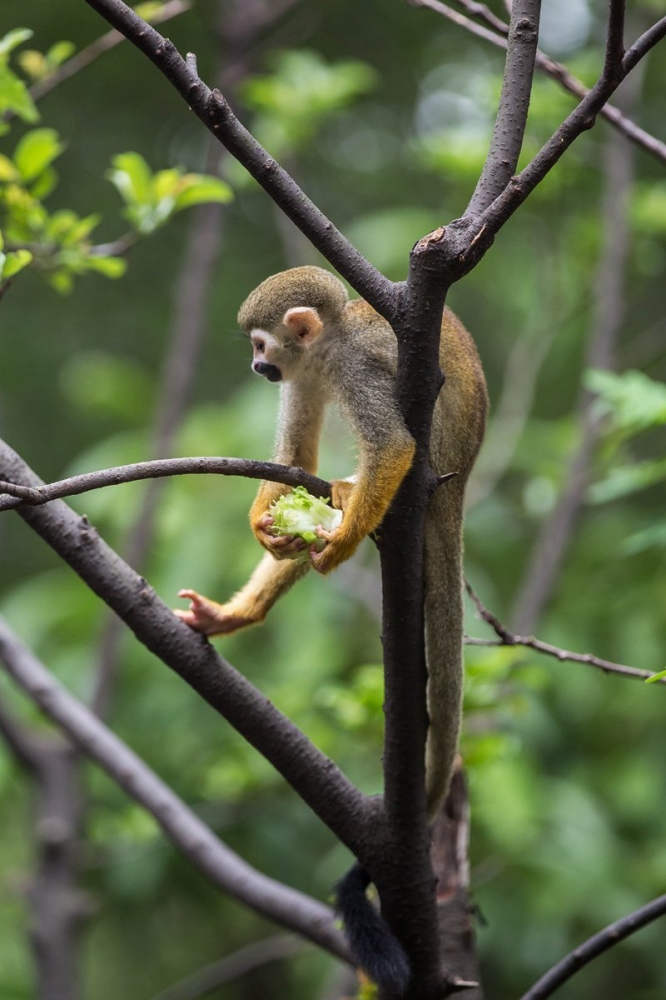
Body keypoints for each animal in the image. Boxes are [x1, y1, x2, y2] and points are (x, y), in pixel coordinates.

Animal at [176, 266, 486, 992]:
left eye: (260, 344)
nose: (256, 366)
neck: (327, 345)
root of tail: (464, 474)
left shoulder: (354, 368)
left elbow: (393, 445)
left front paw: (339, 543)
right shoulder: (304, 375)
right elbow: (295, 455)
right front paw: (267, 517)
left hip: (438, 460)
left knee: (397, 464)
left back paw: (350, 516)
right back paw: (245, 608)